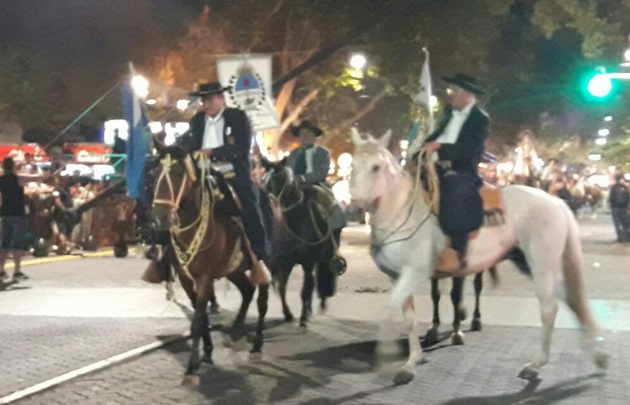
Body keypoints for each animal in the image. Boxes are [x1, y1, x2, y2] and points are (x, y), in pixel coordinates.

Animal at [154, 149, 274, 386]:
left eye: (179, 172)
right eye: (154, 172)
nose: (160, 216)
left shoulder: (204, 277)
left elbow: (198, 320)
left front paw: (192, 367)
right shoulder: (186, 278)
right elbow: (202, 317)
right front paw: (207, 352)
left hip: (264, 262)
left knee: (262, 300)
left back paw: (256, 346)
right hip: (234, 269)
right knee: (247, 290)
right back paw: (237, 330)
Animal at [260, 156, 346, 326]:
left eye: (280, 179)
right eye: (264, 179)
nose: (268, 203)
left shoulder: (308, 262)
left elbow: (305, 290)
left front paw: (304, 317)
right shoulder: (284, 262)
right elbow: (282, 288)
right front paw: (288, 313)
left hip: (325, 255)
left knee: (320, 277)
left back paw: (319, 304)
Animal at [348, 129, 608, 386]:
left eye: (375, 167)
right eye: (352, 164)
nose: (353, 210)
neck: (402, 213)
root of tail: (557, 202)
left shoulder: (414, 272)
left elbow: (389, 308)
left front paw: (388, 356)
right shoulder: (397, 276)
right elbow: (408, 318)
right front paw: (412, 362)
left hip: (542, 264)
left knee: (549, 308)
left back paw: (535, 364)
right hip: (528, 262)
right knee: (572, 300)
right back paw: (597, 356)